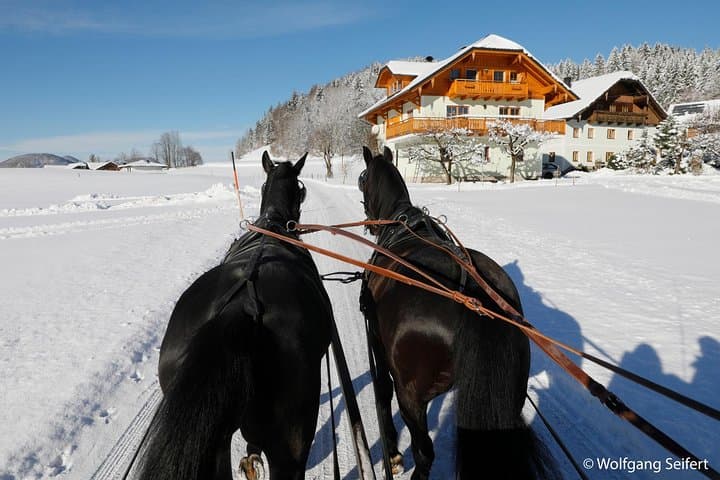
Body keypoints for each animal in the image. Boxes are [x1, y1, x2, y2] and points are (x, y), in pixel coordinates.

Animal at [358, 147, 557, 480]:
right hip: (511, 394)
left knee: (425, 452)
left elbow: (382, 393)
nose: (369, 223)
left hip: (410, 396)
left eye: (362, 181)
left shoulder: (377, 342)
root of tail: (475, 296)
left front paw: (393, 455)